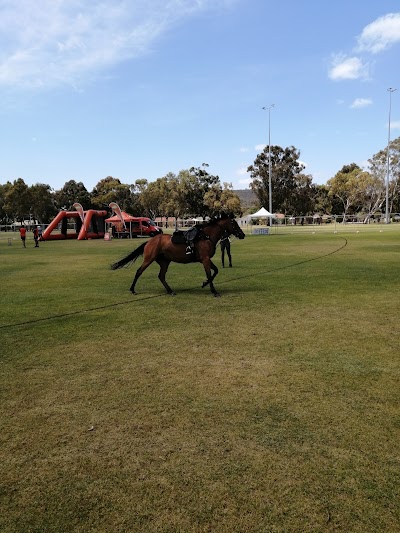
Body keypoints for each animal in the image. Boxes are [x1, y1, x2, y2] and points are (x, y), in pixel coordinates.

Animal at [111, 215, 245, 298]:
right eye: (234, 223)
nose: (242, 234)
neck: (206, 236)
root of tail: (150, 241)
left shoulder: (205, 259)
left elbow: (215, 271)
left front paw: (204, 284)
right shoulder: (205, 260)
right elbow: (210, 274)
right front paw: (214, 291)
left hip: (165, 262)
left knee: (161, 276)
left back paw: (170, 291)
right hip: (149, 259)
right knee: (139, 271)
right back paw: (132, 290)